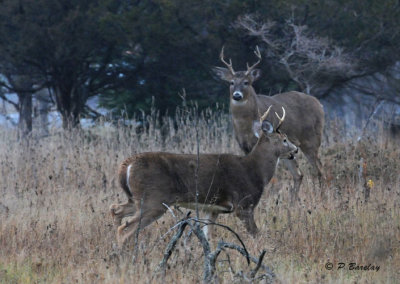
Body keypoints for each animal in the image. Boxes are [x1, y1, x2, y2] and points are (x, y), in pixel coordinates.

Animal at [109, 106, 296, 246]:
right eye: (284, 139)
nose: (295, 151)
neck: (255, 170)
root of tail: (126, 166)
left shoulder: (212, 209)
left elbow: (208, 238)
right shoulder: (244, 204)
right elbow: (255, 234)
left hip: (137, 198)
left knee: (115, 209)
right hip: (153, 199)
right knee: (125, 229)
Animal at [214, 47, 324, 202]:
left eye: (247, 82)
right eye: (231, 82)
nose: (237, 95)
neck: (245, 125)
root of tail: (319, 104)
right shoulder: (244, 146)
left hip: (311, 140)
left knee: (319, 169)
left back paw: (322, 196)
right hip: (290, 152)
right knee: (299, 174)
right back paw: (293, 202)